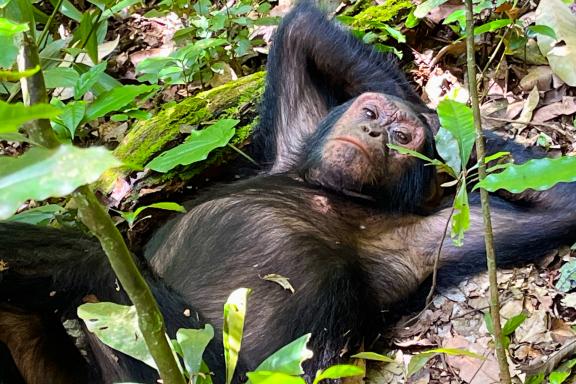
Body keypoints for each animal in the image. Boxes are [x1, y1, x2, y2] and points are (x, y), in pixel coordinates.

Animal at [1, 1, 576, 382]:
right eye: (371, 112)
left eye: (400, 137)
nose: (375, 129)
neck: (338, 194)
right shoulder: (298, 136)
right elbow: (301, 27)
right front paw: (435, 119)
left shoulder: (439, 235)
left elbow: (554, 206)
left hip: (176, 361)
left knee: (95, 263)